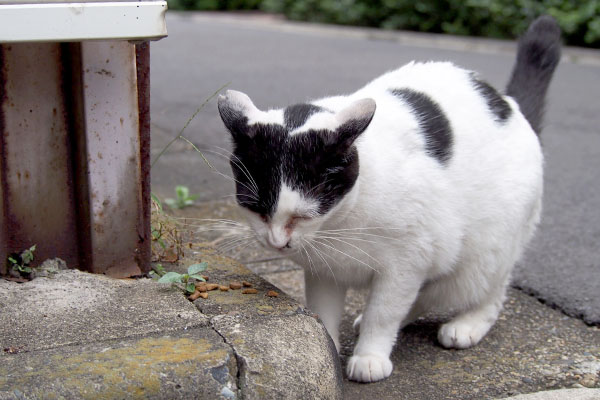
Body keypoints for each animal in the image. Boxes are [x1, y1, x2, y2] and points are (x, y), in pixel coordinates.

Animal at [217, 15, 564, 382]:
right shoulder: (325, 268)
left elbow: (383, 313)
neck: (340, 224)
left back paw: (467, 325)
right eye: (257, 210)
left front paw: (370, 356)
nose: (277, 243)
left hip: (482, 253)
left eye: (303, 215)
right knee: (427, 293)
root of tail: (509, 103)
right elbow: (326, 309)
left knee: (487, 292)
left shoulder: (407, 261)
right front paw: (329, 347)